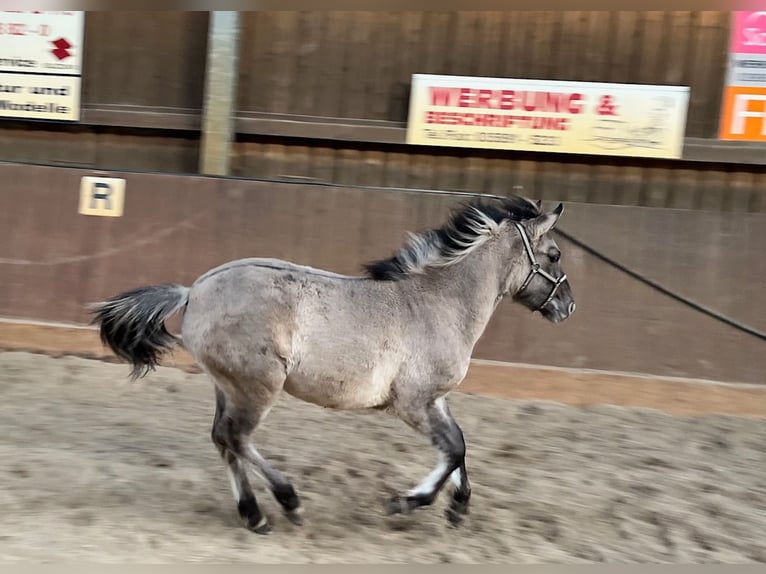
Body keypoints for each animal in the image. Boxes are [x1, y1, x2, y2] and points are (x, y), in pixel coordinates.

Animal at [88, 194, 576, 536]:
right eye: (553, 255)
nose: (569, 307)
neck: (436, 303)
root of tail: (194, 291)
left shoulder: (435, 399)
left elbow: (458, 446)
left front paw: (458, 508)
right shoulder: (412, 403)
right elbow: (454, 449)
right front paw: (405, 502)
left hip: (227, 387)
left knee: (223, 440)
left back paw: (254, 515)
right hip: (258, 386)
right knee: (236, 437)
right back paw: (287, 503)